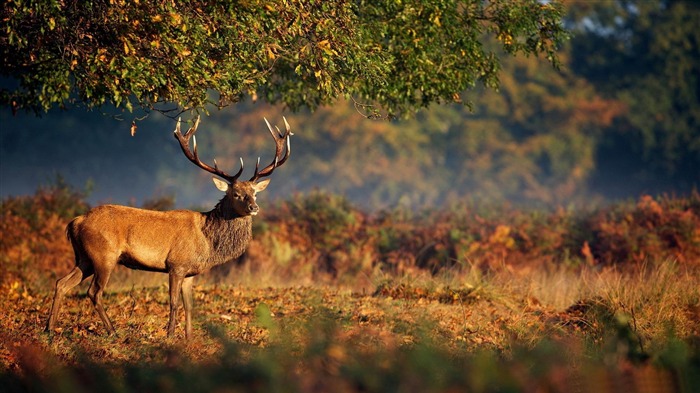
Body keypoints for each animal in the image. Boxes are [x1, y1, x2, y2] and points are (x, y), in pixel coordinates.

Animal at [43, 115, 292, 336]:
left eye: (255, 193)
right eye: (236, 194)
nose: (254, 207)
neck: (207, 243)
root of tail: (76, 222)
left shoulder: (191, 272)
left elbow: (189, 305)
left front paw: (189, 338)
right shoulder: (176, 264)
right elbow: (173, 302)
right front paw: (170, 335)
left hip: (84, 258)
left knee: (61, 283)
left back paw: (49, 329)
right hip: (104, 255)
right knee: (94, 292)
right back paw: (112, 331)